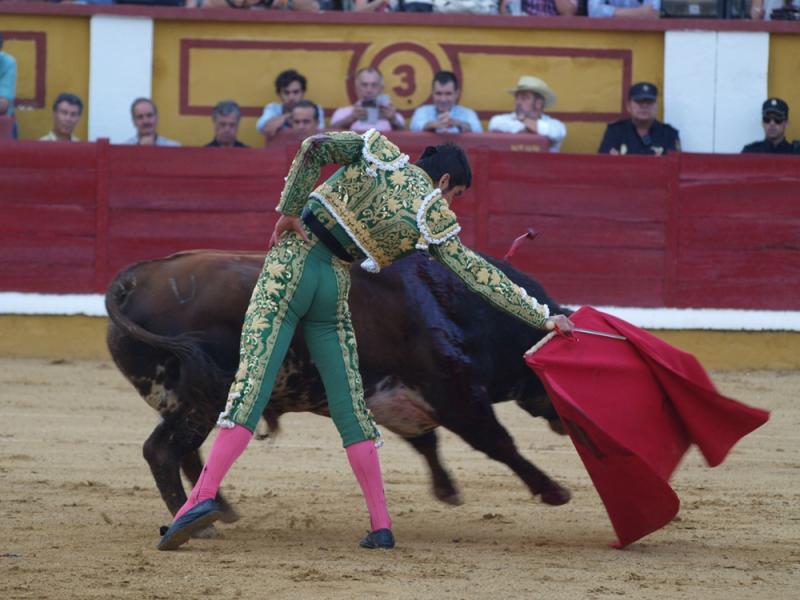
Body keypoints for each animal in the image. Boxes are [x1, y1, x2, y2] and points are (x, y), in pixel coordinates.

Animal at [106, 248, 572, 524]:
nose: (566, 421)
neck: (451, 303)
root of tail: (131, 280)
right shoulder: (455, 392)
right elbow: (498, 442)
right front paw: (553, 490)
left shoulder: (398, 399)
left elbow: (427, 442)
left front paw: (446, 490)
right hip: (202, 400)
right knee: (164, 451)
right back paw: (202, 524)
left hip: (184, 401)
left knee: (186, 453)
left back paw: (217, 511)